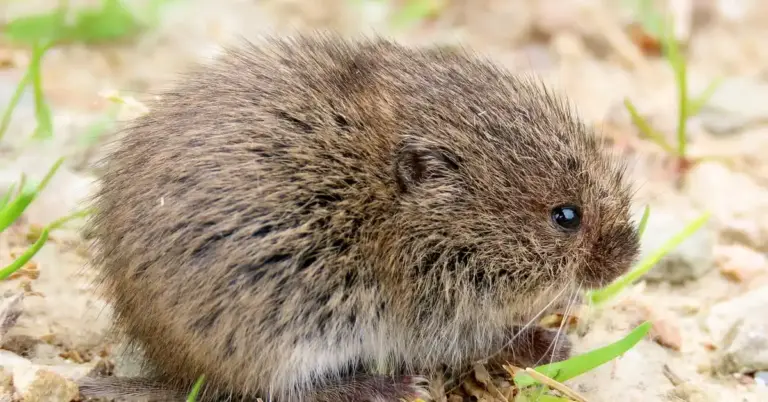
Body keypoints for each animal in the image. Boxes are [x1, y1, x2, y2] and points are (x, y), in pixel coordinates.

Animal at [81, 34, 640, 402]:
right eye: (565, 216)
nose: (629, 259)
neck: (399, 212)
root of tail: (174, 371)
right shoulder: (434, 312)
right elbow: (484, 340)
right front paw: (550, 341)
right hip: (286, 335)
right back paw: (386, 386)